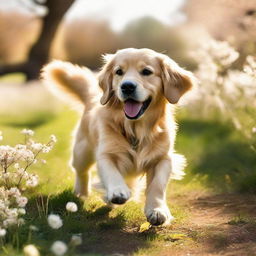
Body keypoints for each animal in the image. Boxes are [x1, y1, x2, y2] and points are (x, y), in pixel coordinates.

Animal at [42, 47, 195, 224]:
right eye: (119, 72)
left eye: (146, 71)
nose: (127, 86)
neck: (135, 130)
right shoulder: (106, 154)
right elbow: (112, 173)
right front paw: (117, 191)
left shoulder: (164, 158)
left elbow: (158, 185)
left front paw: (157, 210)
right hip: (82, 152)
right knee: (81, 172)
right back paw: (82, 193)